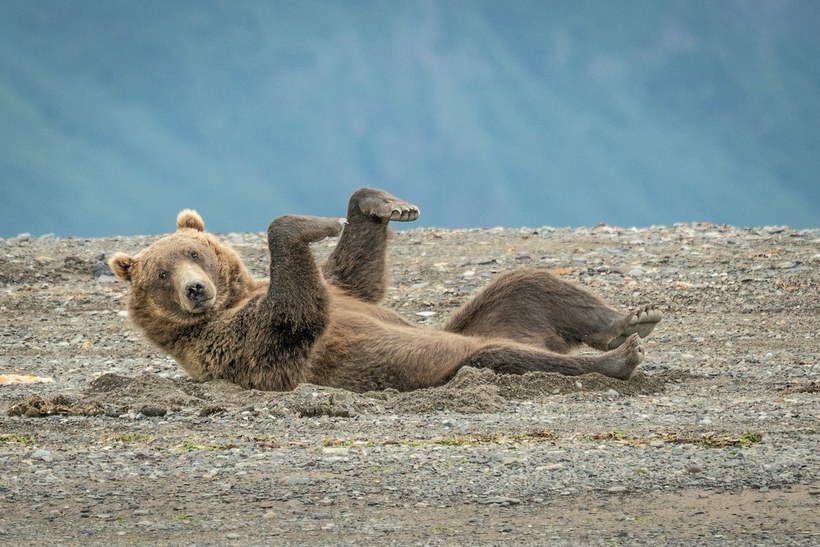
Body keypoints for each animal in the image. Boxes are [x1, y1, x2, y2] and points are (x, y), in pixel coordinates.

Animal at [109, 188, 660, 394]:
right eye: (161, 274)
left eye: (194, 252)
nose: (195, 290)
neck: (235, 298)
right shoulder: (231, 343)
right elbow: (296, 315)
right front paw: (311, 222)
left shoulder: (342, 289)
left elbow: (355, 273)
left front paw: (386, 205)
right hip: (445, 358)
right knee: (507, 355)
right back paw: (618, 358)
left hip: (496, 314)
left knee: (527, 284)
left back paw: (631, 321)